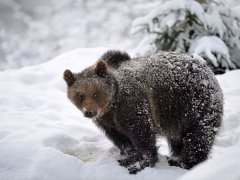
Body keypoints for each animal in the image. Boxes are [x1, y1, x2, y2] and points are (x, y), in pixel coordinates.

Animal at [62, 50, 223, 174]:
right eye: (80, 95)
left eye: (95, 93)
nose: (89, 112)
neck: (112, 105)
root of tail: (205, 66)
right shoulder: (108, 121)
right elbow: (121, 138)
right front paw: (129, 156)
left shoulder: (131, 104)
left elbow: (141, 133)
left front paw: (141, 163)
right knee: (180, 139)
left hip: (192, 102)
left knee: (198, 135)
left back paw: (185, 162)